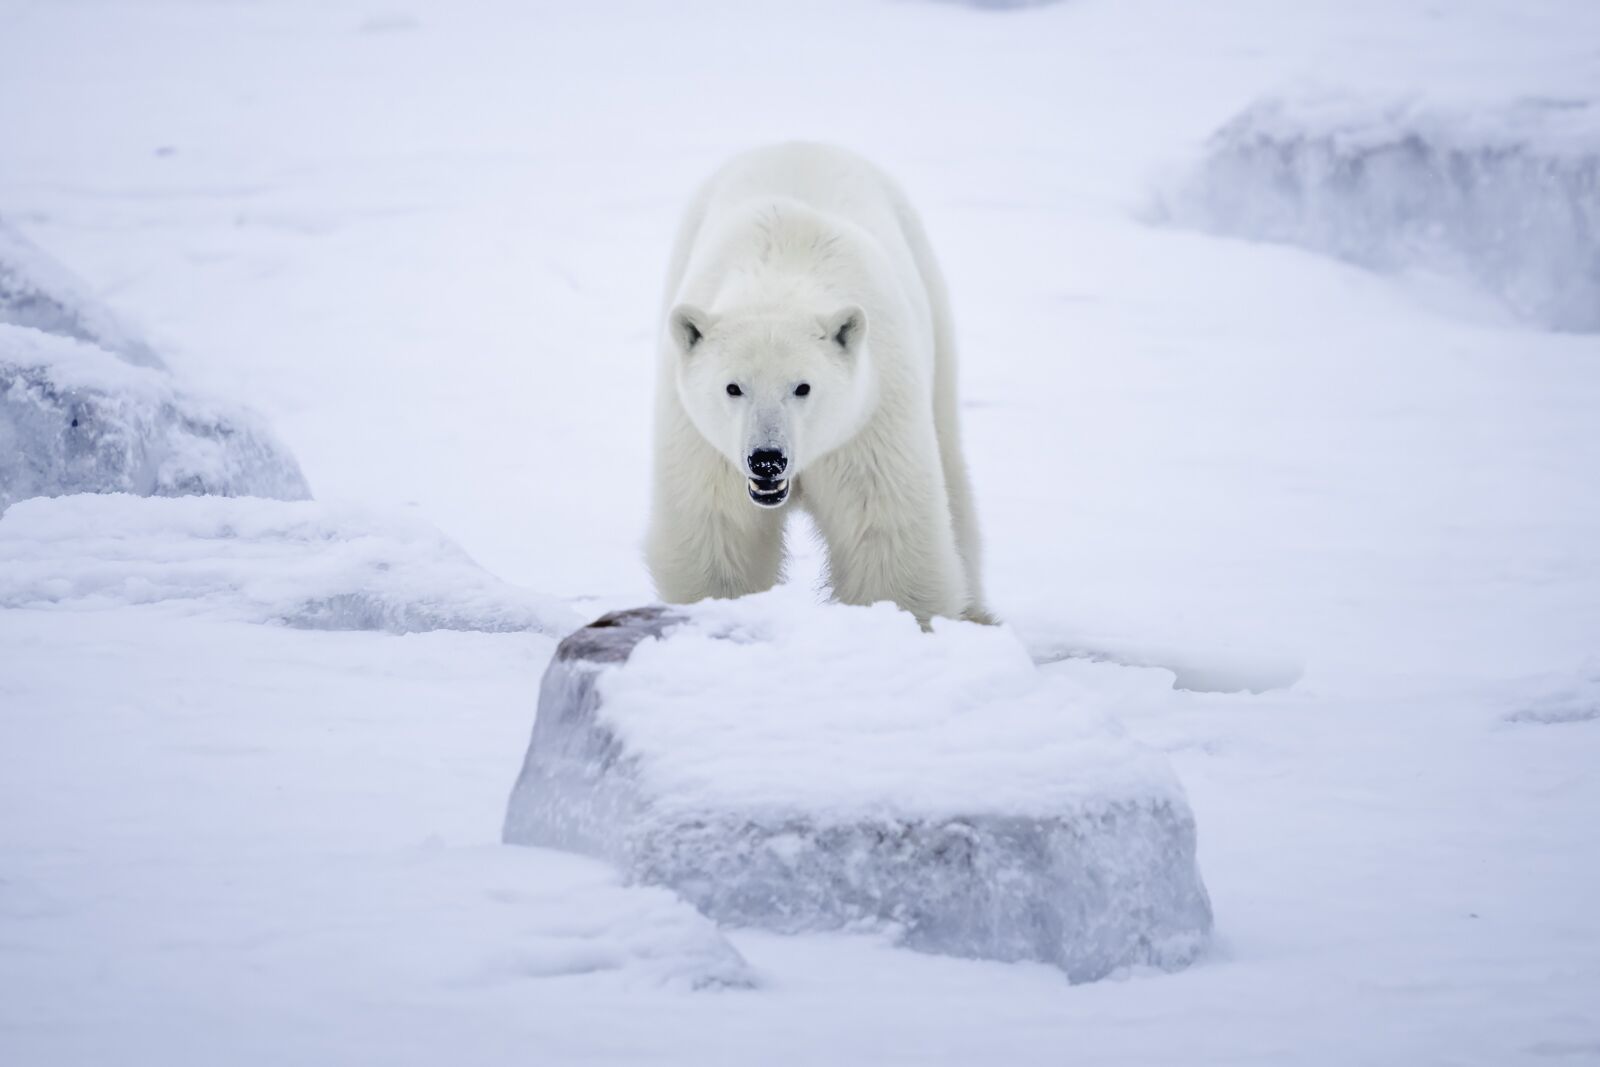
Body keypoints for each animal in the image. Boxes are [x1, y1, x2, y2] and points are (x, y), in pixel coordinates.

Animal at [640, 141, 985, 627]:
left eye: (802, 387)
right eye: (733, 387)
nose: (768, 460)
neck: (784, 271)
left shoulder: (869, 420)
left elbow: (885, 533)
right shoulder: (703, 442)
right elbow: (718, 532)